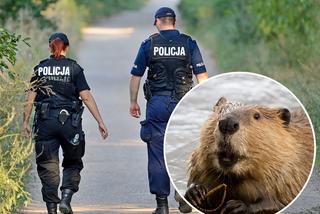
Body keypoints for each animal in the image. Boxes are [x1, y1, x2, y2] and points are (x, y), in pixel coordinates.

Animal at [184, 97, 314, 214]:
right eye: (221, 111)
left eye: (257, 116)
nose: (228, 123)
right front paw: (196, 192)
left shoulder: (292, 173)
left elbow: (279, 201)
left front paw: (237, 206)